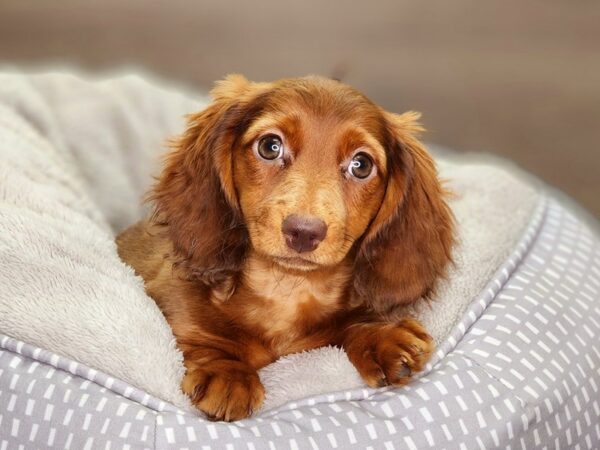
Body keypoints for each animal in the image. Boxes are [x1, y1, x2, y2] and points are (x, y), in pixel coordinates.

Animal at [116, 74, 454, 422]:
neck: (287, 288)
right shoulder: (170, 296)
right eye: (270, 146)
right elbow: (193, 331)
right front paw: (226, 372)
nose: (303, 232)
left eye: (361, 165)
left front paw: (382, 336)